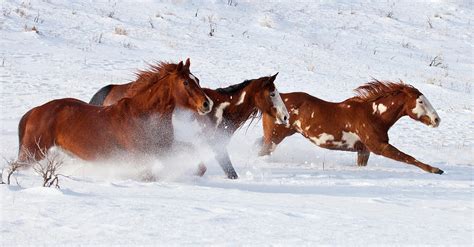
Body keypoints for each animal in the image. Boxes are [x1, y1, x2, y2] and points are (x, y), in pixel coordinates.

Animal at [17, 59, 212, 164]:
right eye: (186, 82)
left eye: (197, 80)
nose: (207, 104)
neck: (143, 115)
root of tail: (35, 111)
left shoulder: (166, 150)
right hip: (32, 153)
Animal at [258, 80, 442, 175]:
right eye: (420, 101)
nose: (437, 119)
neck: (373, 115)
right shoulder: (379, 147)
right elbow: (408, 157)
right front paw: (436, 170)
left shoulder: (364, 151)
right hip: (275, 136)